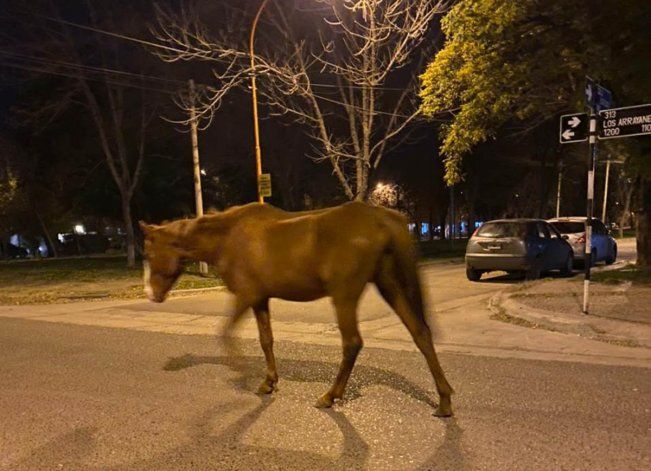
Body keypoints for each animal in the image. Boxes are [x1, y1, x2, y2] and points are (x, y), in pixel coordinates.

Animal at [139, 201, 454, 416]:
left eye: (150, 252)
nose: (151, 294)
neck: (228, 237)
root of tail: (381, 218)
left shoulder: (246, 295)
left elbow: (226, 332)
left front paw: (243, 374)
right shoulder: (260, 299)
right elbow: (266, 340)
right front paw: (268, 381)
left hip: (345, 295)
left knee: (352, 343)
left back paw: (330, 396)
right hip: (389, 285)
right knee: (420, 333)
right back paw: (444, 400)